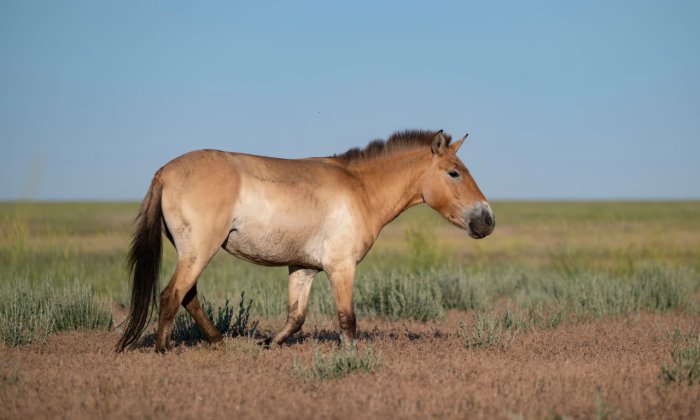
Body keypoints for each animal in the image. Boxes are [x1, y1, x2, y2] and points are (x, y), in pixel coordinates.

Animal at [116, 128, 492, 352]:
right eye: (454, 173)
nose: (487, 220)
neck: (361, 189)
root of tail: (164, 172)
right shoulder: (341, 267)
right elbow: (347, 319)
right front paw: (352, 358)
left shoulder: (303, 268)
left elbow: (296, 318)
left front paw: (267, 344)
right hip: (199, 251)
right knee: (172, 295)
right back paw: (164, 349)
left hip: (193, 252)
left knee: (188, 296)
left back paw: (219, 340)